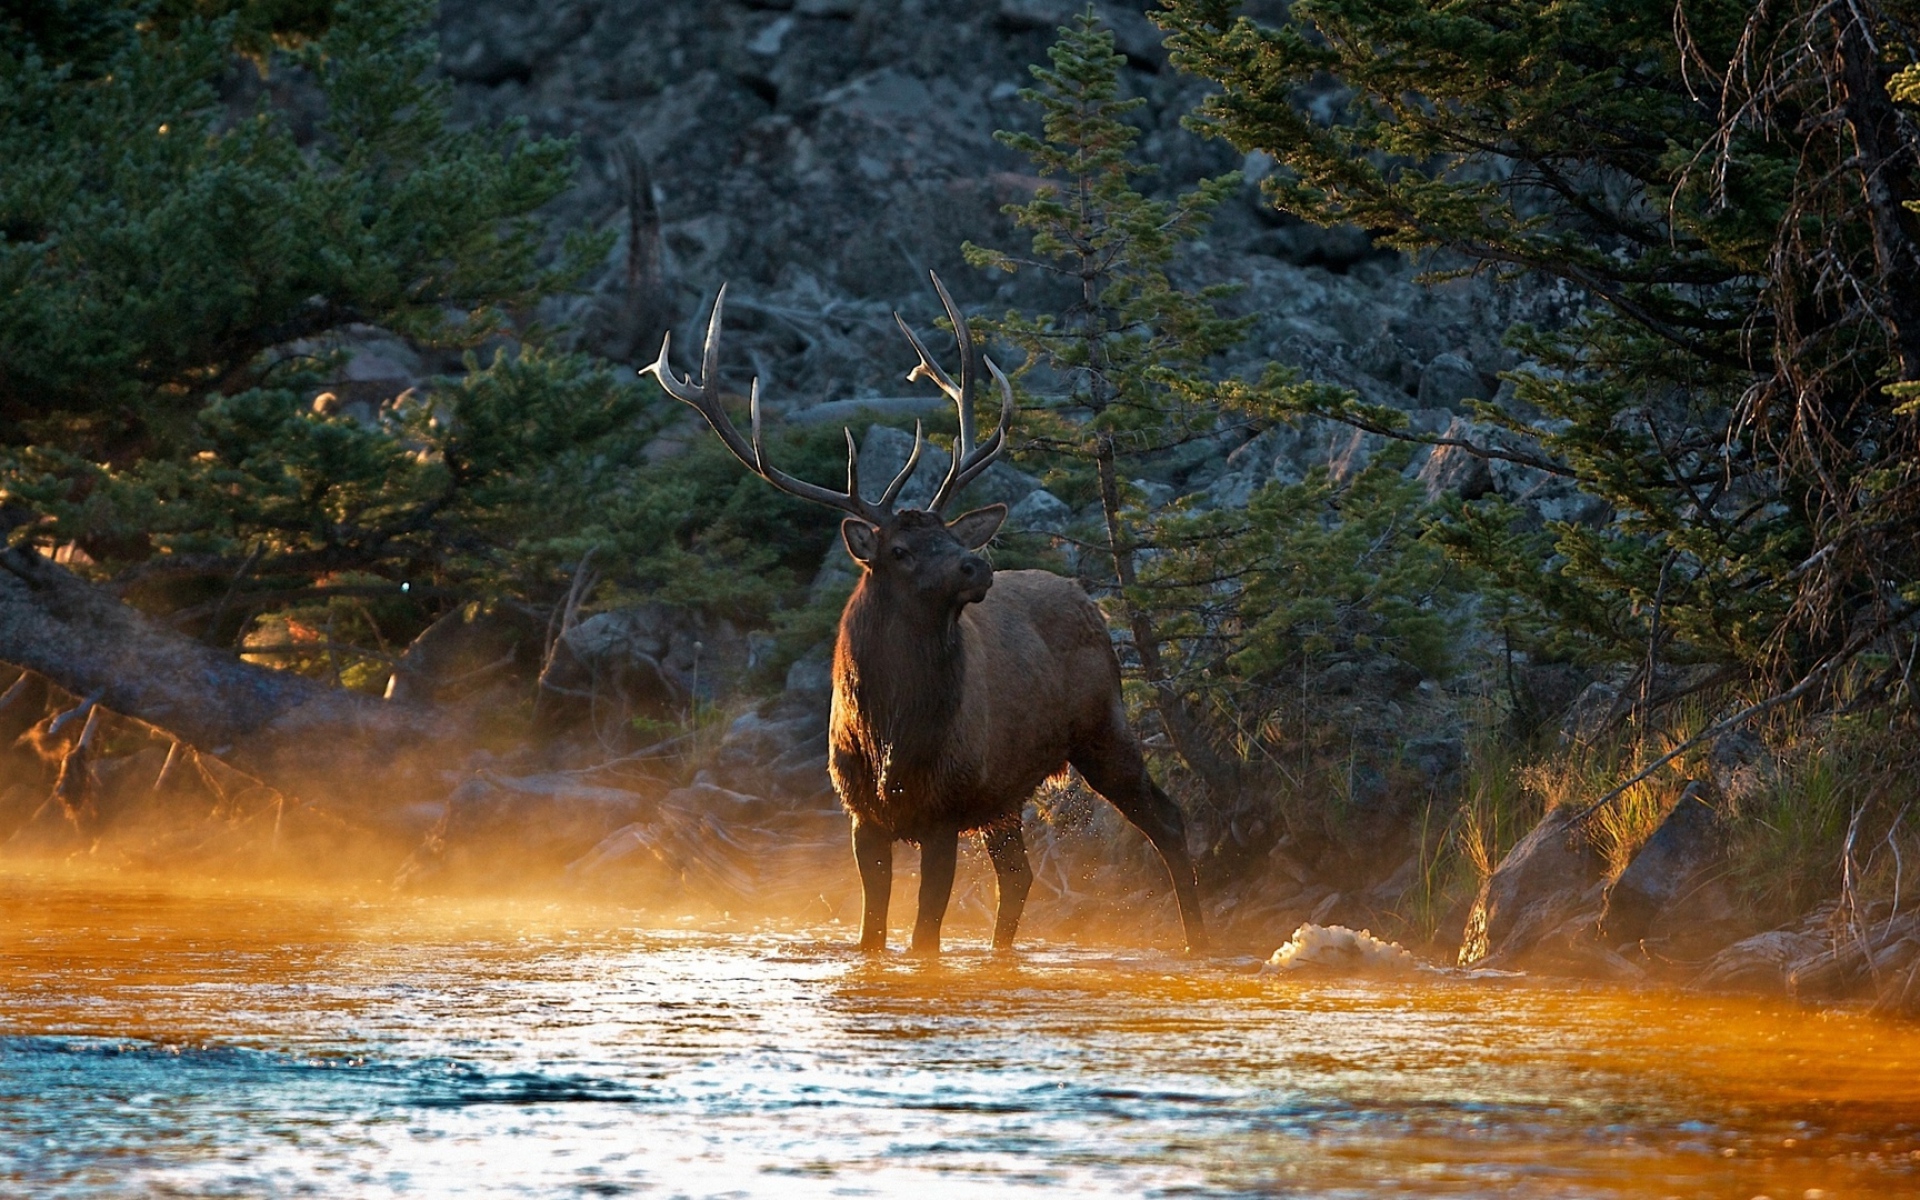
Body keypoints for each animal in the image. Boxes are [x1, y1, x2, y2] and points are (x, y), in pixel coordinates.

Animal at [642, 274, 1208, 956]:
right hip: (1004, 791)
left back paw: (1200, 942)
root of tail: (1088, 601)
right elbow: (872, 935)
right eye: (901, 550)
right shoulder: (862, 814)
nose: (976, 565)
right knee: (1019, 876)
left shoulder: (944, 809)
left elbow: (924, 937)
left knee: (1168, 819)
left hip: (1103, 725)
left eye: (950, 534)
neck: (891, 736)